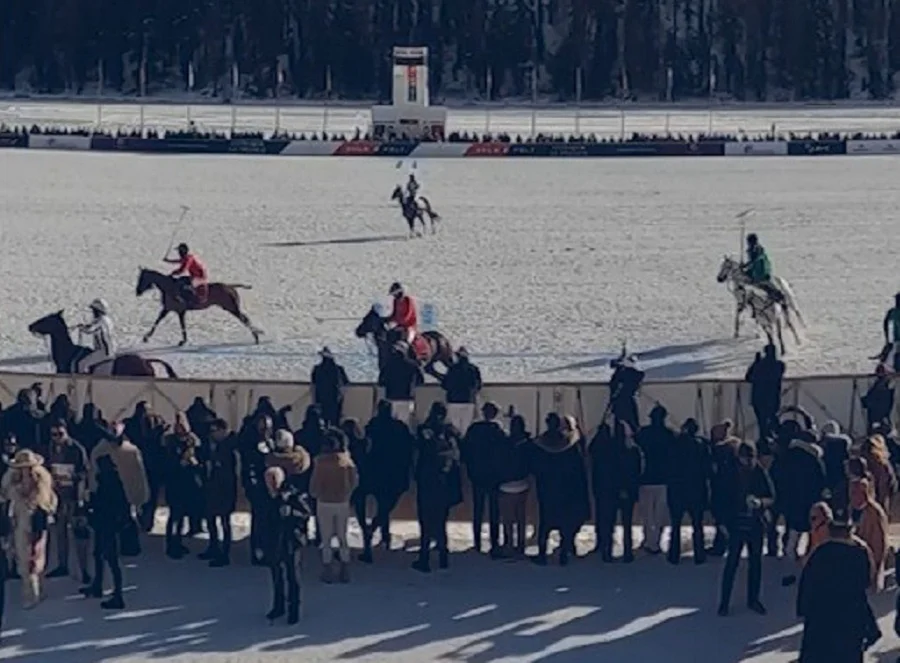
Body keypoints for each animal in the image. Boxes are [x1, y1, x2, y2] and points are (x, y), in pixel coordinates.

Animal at [135, 268, 264, 348]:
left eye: (142, 279)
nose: (137, 292)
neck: (168, 287)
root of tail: (230, 286)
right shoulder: (168, 309)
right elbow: (159, 321)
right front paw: (146, 337)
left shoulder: (178, 310)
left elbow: (178, 325)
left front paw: (183, 341)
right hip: (231, 308)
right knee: (245, 318)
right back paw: (257, 335)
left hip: (232, 308)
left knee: (245, 319)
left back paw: (256, 336)